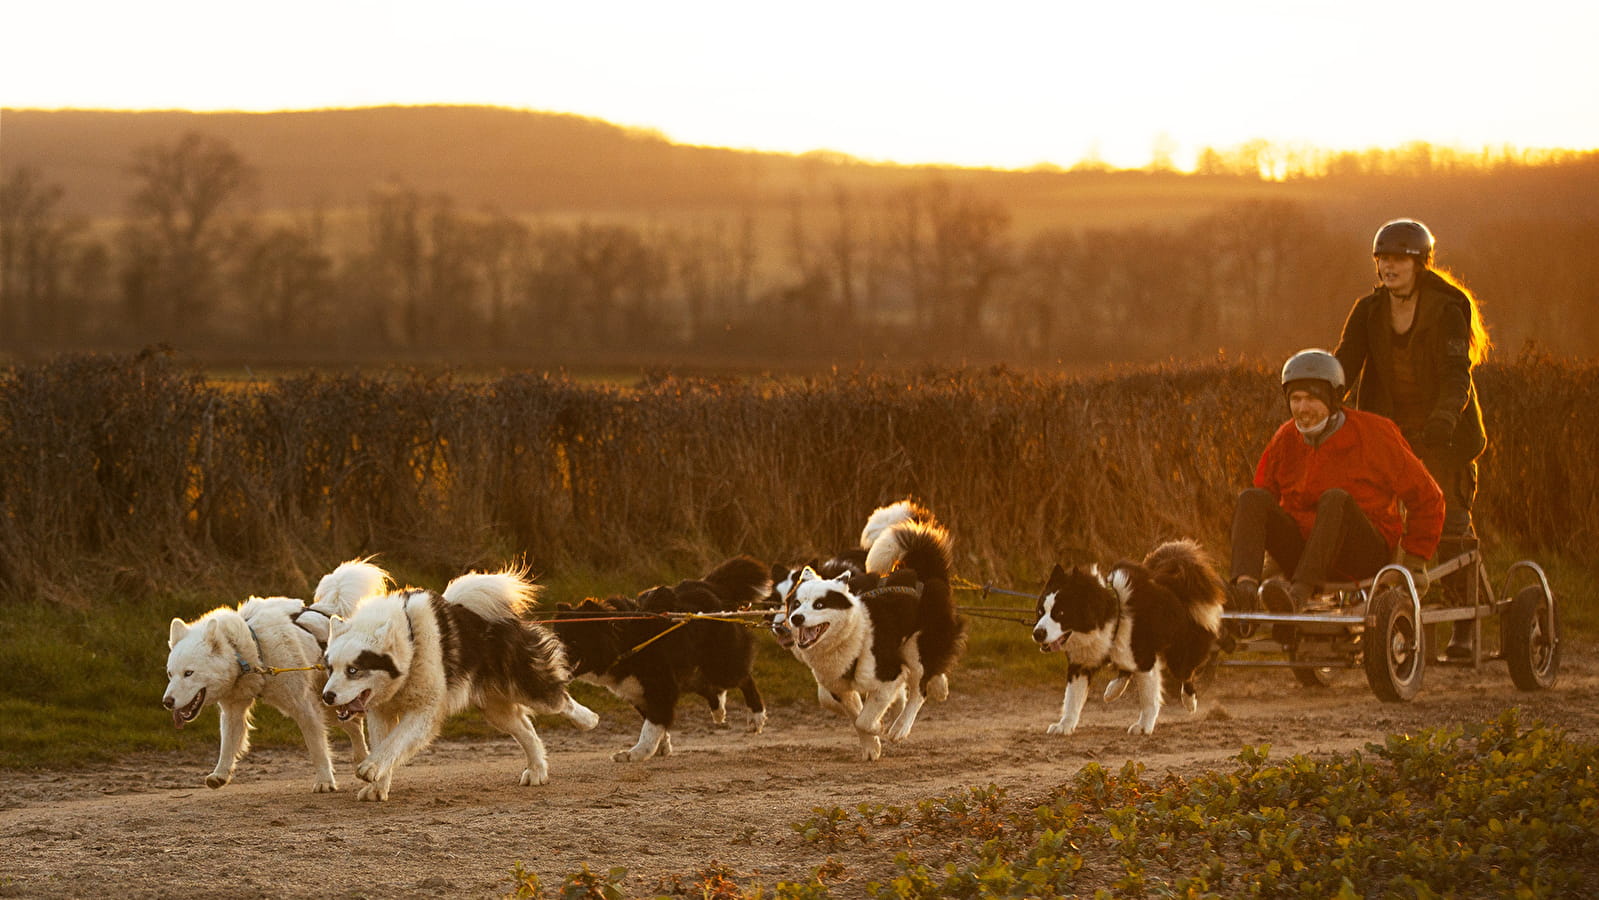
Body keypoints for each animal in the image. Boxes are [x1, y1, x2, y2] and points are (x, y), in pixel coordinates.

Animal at [160, 559, 388, 792]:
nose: (167, 702)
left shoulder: (305, 708)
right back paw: (361, 760)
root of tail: (328, 610)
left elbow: (317, 749)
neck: (251, 650)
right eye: (170, 674)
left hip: (330, 701)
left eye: (189, 673)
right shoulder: (234, 710)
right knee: (353, 725)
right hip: (331, 704)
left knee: (355, 724)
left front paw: (325, 780)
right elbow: (228, 744)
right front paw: (220, 774)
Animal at [318, 569, 601, 802]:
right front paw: (377, 786)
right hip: (495, 710)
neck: (409, 640)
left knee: (560, 701)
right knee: (526, 731)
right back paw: (537, 770)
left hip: (529, 687)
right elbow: (384, 743)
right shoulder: (382, 712)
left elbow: (395, 742)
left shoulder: (425, 711)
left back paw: (588, 720)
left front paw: (371, 768)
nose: (327, 696)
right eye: (331, 668)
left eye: (353, 670)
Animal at [553, 559, 770, 764]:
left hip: (720, 665)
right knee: (709, 687)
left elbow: (651, 726)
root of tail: (710, 585)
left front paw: (635, 753)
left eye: (573, 641)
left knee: (744, 678)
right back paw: (718, 711)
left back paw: (756, 717)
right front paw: (661, 747)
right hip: (691, 672)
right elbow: (655, 722)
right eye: (556, 640)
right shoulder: (639, 692)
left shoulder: (661, 686)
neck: (624, 639)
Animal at [783, 521, 959, 760]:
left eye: (819, 605)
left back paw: (900, 726)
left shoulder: (888, 674)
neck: (853, 633)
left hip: (916, 647)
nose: (796, 618)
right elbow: (855, 717)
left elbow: (864, 720)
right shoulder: (839, 687)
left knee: (919, 688)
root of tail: (922, 571)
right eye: (796, 604)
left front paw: (878, 728)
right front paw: (871, 746)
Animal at [1023, 540, 1221, 735]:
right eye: (1040, 611)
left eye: (1060, 613)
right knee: (1126, 667)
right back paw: (1113, 690)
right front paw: (1064, 725)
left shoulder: (1144, 658)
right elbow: (1072, 698)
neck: (1109, 615)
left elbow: (1149, 696)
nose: (1037, 633)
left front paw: (1143, 726)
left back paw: (1189, 701)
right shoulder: (1081, 662)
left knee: (1186, 673)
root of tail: (1175, 580)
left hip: (1179, 653)